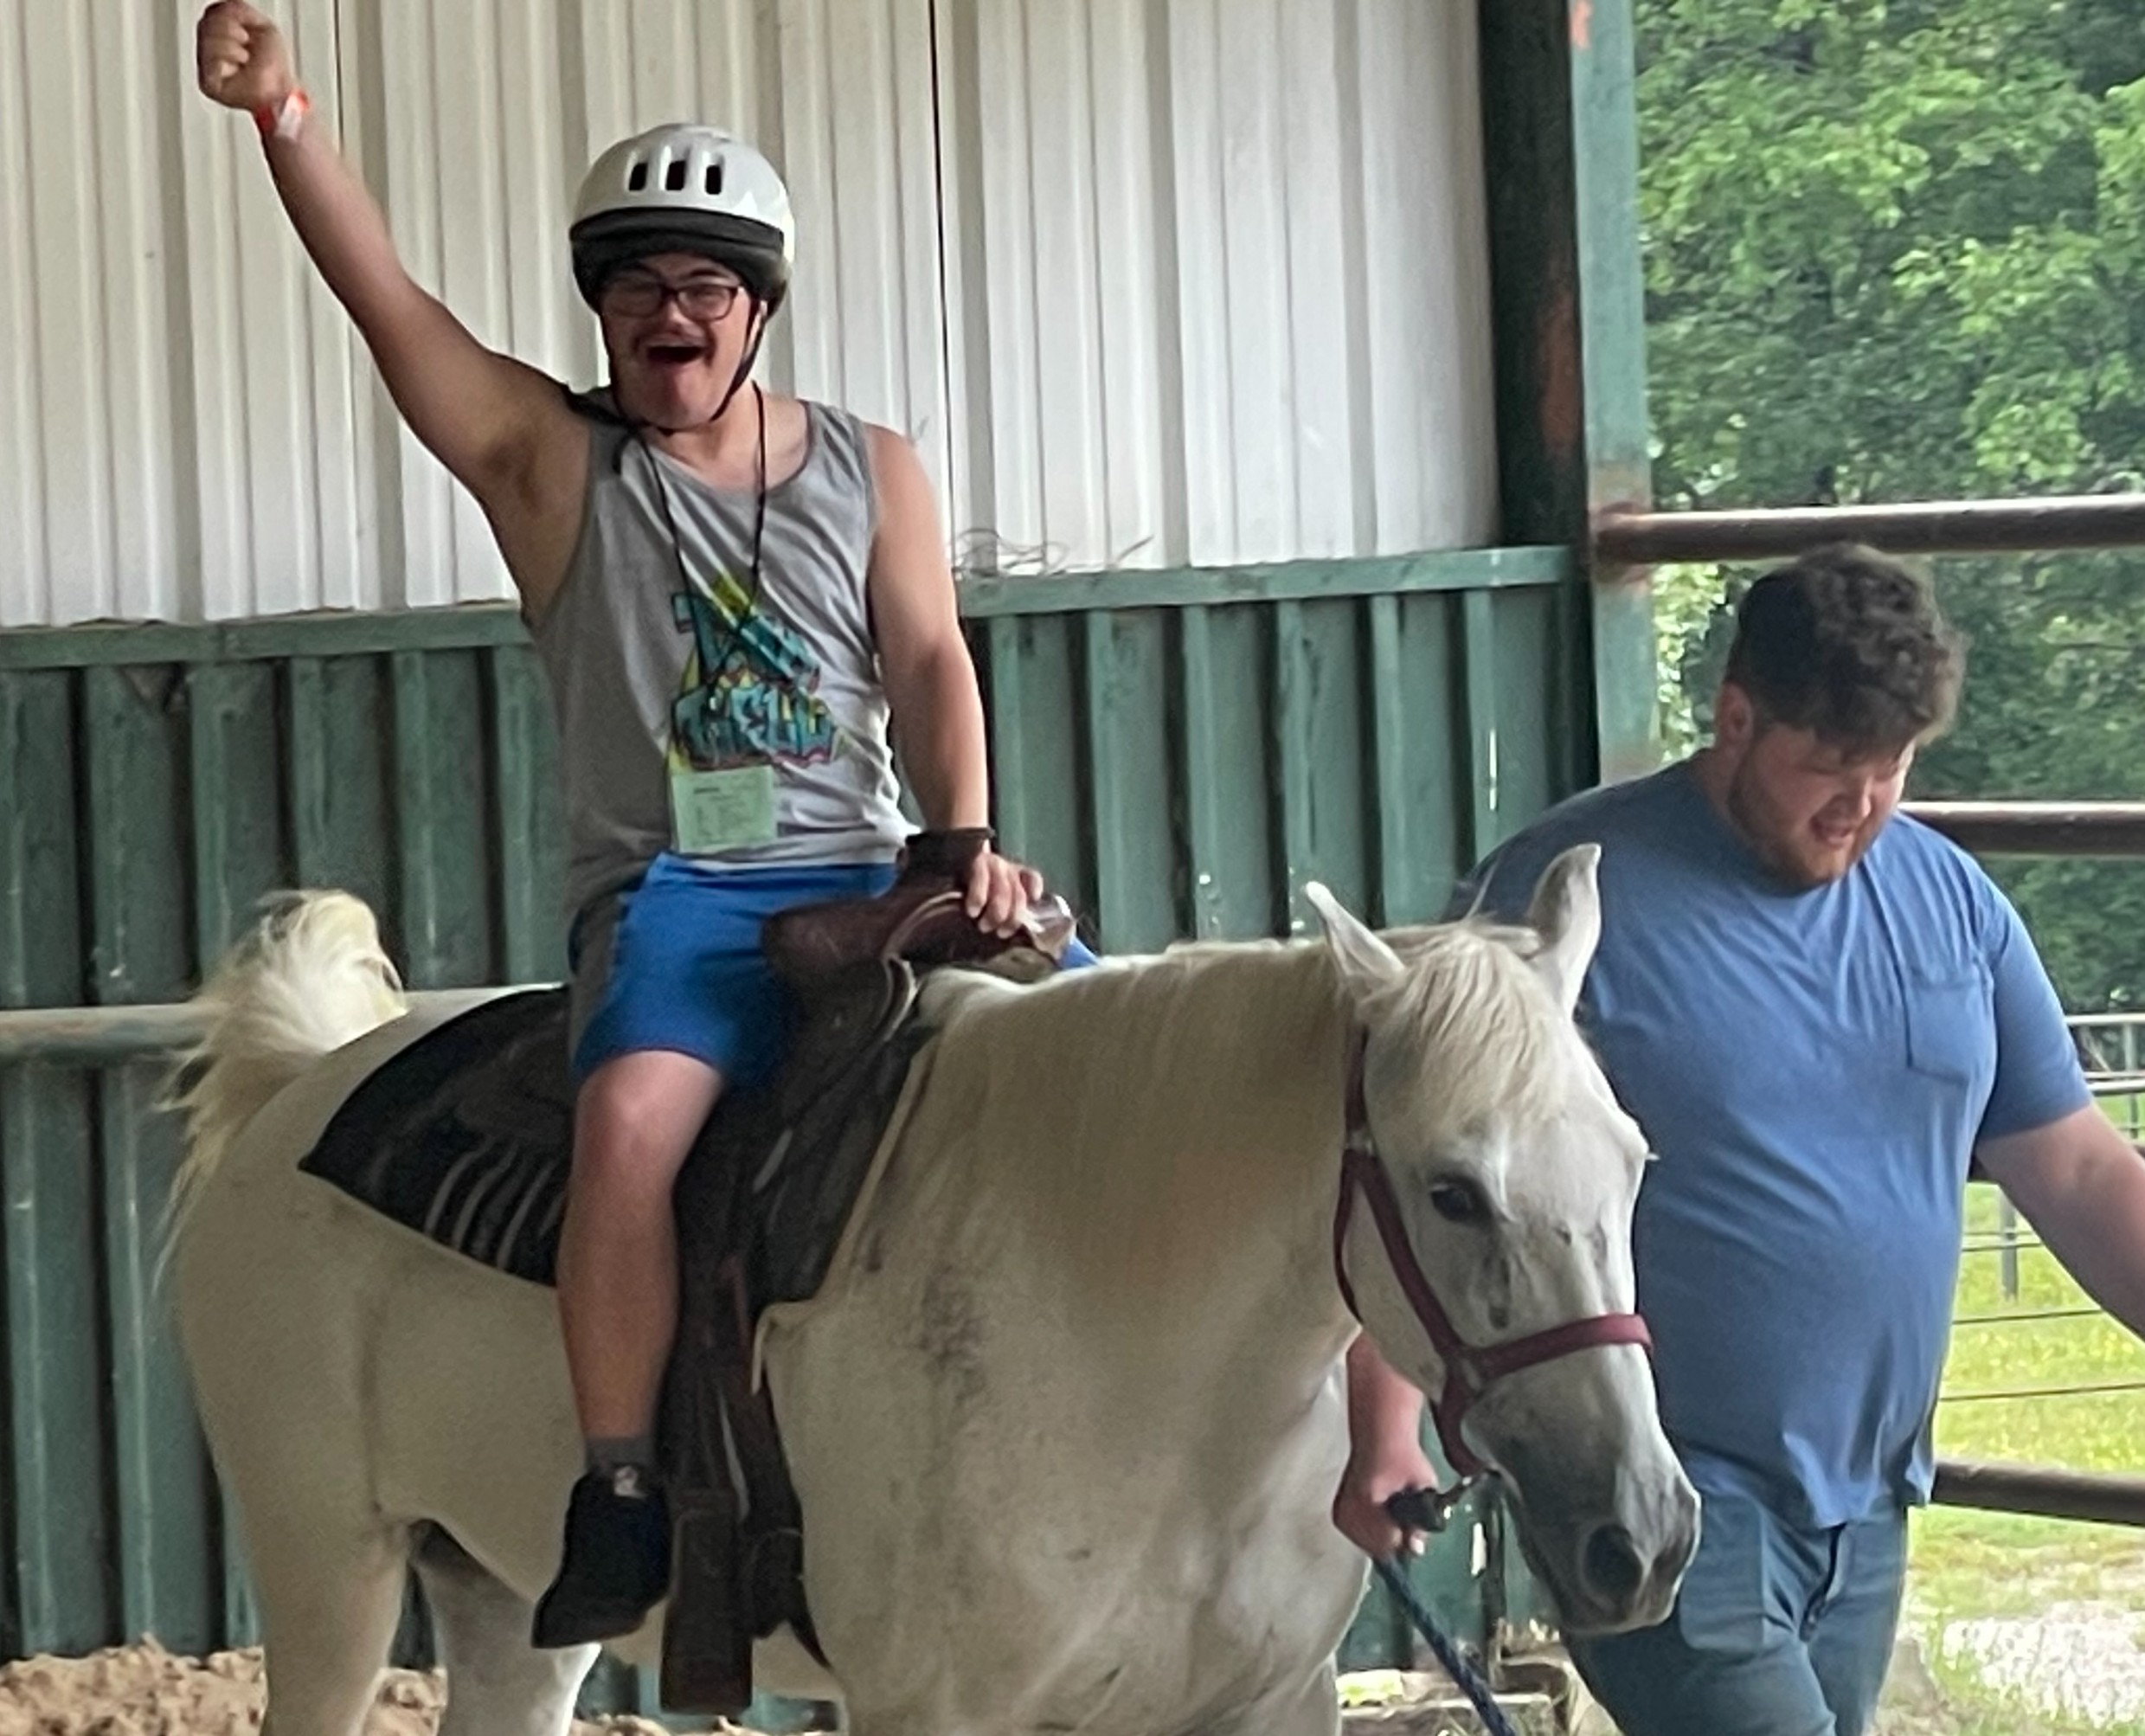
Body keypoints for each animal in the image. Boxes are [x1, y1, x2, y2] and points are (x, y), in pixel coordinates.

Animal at [167, 841, 1699, 1733]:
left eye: (1633, 1161)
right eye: (1450, 1187)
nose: (1641, 1534)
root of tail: (303, 1082)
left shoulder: (1262, 1699)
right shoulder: (935, 1708)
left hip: (509, 1609)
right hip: (329, 1572)